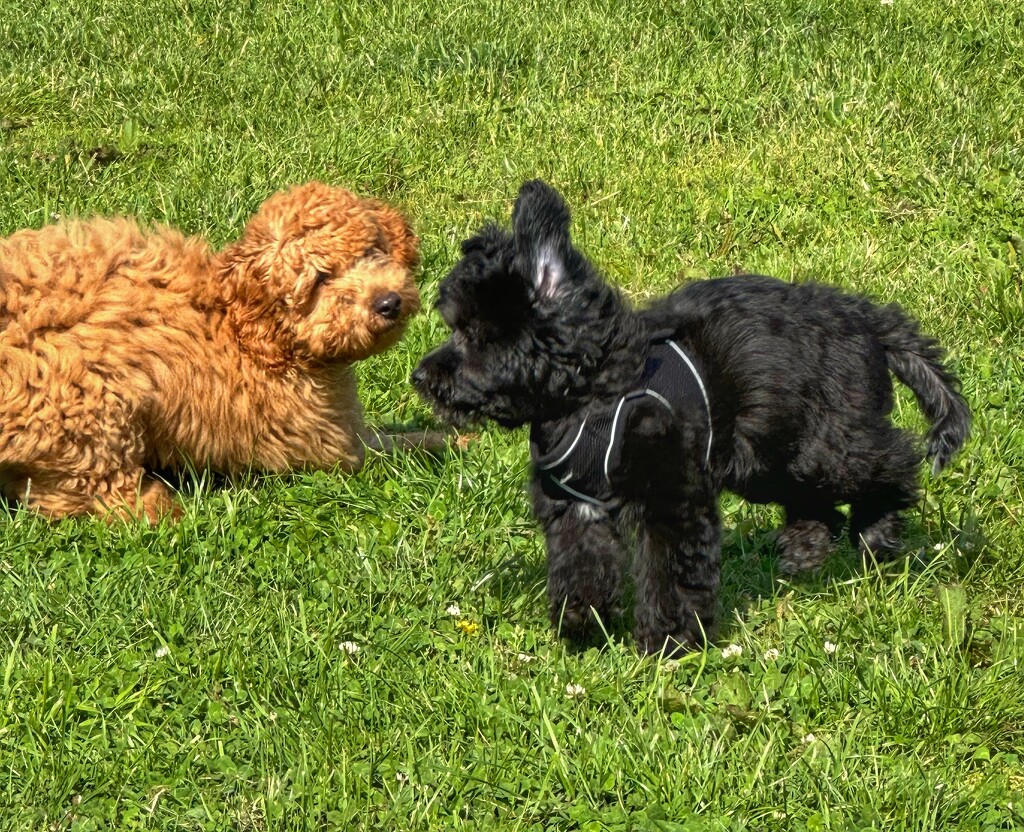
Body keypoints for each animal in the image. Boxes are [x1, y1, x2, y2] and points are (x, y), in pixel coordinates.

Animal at [0, 180, 440, 520]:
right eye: (320, 279)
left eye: (371, 251)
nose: (388, 302)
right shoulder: (324, 441)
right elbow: (392, 448)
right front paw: (448, 440)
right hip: (88, 407)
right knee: (91, 492)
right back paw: (167, 506)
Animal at [411, 180, 970, 655]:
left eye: (474, 335)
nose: (420, 376)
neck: (592, 395)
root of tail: (866, 319)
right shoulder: (575, 506)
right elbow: (581, 566)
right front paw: (582, 624)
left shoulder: (673, 498)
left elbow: (672, 573)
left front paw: (669, 643)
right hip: (766, 457)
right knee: (817, 504)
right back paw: (804, 551)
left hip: (827, 444)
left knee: (894, 461)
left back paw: (878, 532)